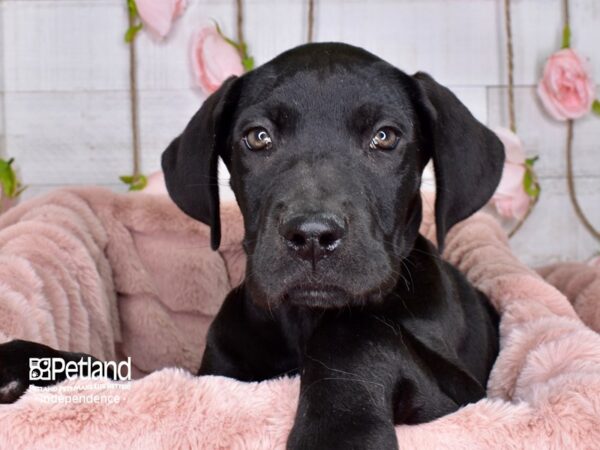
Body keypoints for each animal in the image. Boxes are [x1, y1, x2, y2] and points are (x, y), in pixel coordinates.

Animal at [2, 43, 504, 450]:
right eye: (258, 137)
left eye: (385, 137)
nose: (312, 236)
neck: (302, 323)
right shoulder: (212, 382)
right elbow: (111, 371)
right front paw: (20, 360)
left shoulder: (463, 397)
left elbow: (356, 332)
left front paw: (338, 433)